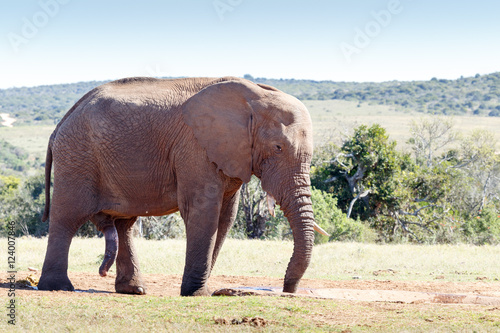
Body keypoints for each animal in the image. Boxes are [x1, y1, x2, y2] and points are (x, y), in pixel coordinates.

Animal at [37, 76, 326, 294]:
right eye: (278, 148)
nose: (287, 289)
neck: (254, 96)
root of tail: (61, 122)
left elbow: (226, 218)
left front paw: (202, 290)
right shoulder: (195, 148)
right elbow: (203, 212)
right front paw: (197, 293)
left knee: (124, 224)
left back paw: (134, 290)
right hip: (77, 157)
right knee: (67, 217)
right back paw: (58, 287)